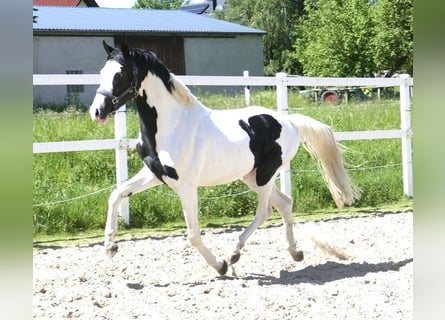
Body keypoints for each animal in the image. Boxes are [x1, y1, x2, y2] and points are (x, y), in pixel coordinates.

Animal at [88, 40, 360, 276]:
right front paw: (110, 247)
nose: (97, 112)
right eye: (102, 71)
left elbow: (193, 234)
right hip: (251, 176)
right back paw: (295, 253)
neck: (171, 126)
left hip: (265, 175)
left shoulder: (186, 186)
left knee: (265, 211)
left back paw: (233, 254)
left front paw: (220, 266)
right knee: (285, 203)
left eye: (120, 73)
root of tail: (290, 122)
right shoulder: (154, 174)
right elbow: (116, 194)